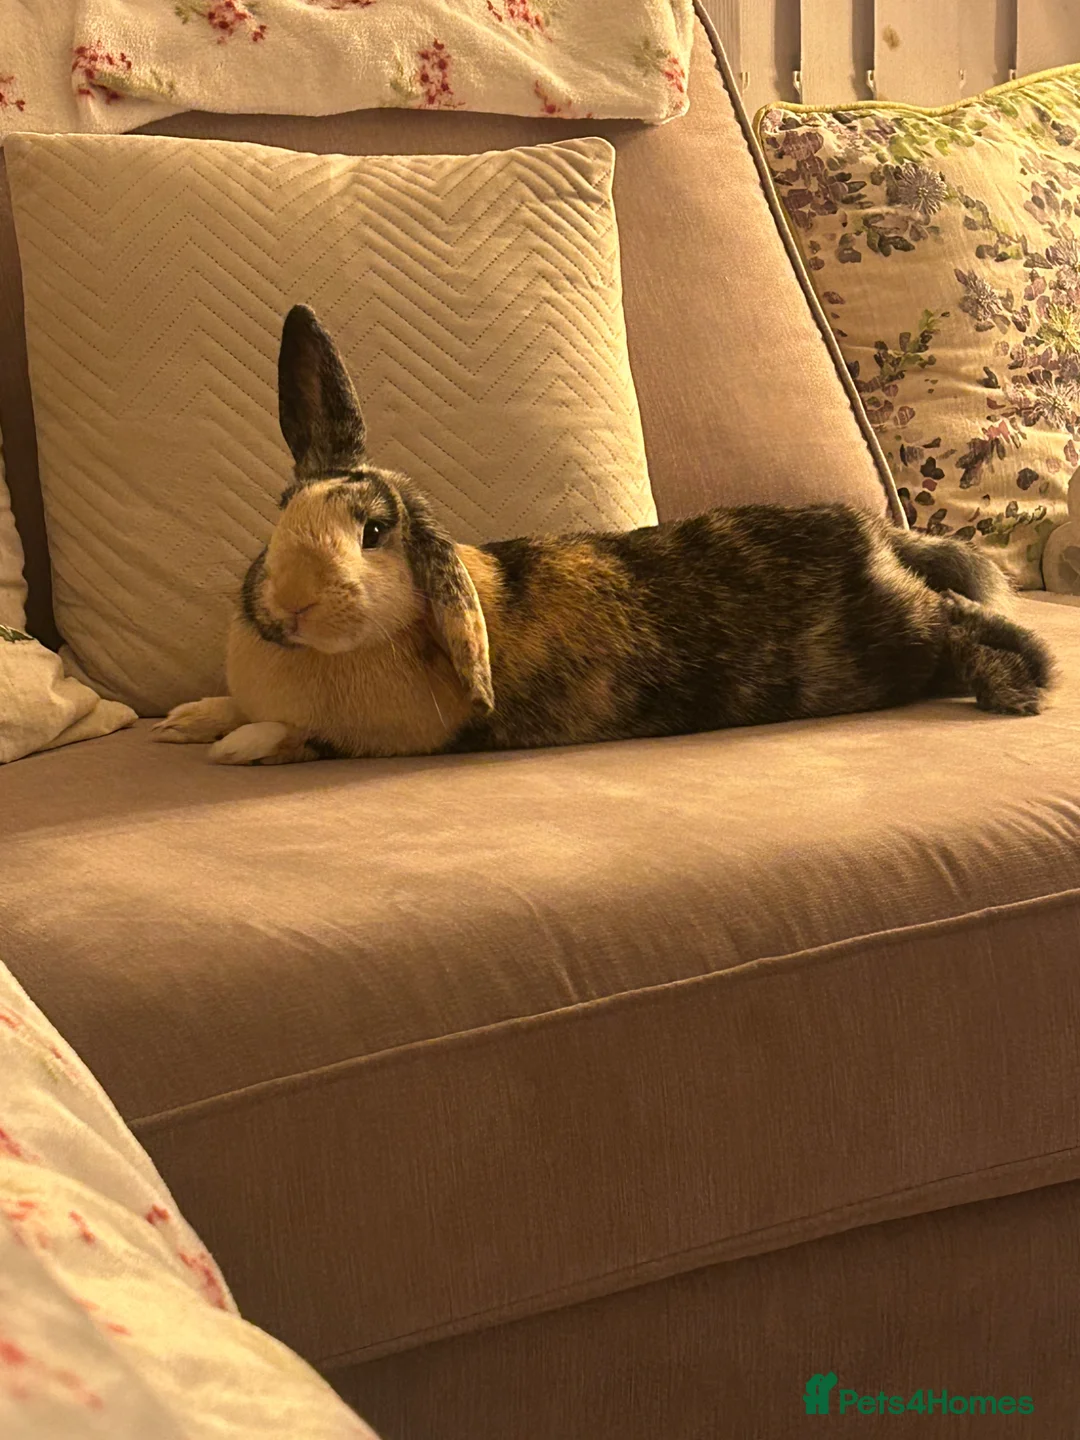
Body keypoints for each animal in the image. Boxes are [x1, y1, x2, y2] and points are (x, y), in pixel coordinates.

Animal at [152, 305, 1056, 766]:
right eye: (281, 509)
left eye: (375, 531)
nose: (292, 604)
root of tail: (878, 539)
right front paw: (186, 720)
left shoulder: (385, 734)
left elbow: (293, 732)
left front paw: (230, 746)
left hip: (898, 634)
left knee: (961, 623)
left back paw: (1020, 683)